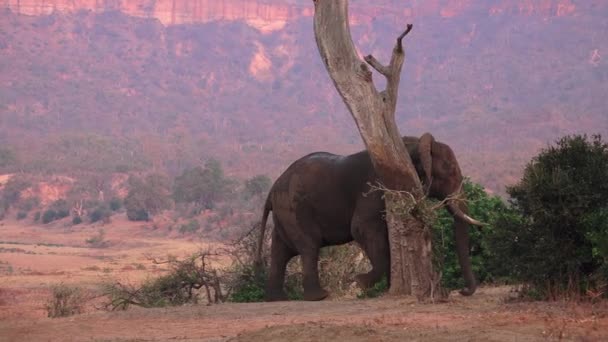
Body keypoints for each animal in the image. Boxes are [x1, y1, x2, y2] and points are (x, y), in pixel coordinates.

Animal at [254, 132, 482, 300]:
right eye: (449, 171)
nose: (462, 291)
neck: (413, 145)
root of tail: (272, 189)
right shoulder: (375, 188)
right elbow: (362, 229)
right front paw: (360, 282)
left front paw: (384, 287)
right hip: (294, 209)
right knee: (309, 247)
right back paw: (320, 296)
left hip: (284, 214)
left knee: (281, 252)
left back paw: (277, 298)